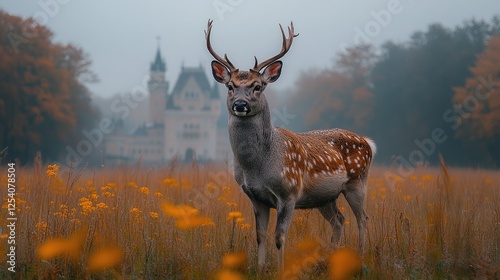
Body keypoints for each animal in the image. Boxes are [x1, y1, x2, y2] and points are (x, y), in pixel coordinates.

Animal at [204, 18, 376, 272]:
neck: (259, 166)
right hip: (325, 196)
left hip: (357, 181)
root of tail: (367, 142)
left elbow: (279, 237)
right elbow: (260, 235)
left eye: (258, 86)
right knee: (339, 220)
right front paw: (260, 268)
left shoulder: (289, 192)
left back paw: (361, 257)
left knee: (362, 218)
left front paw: (281, 270)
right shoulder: (254, 196)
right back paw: (330, 258)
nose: (240, 104)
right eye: (230, 86)